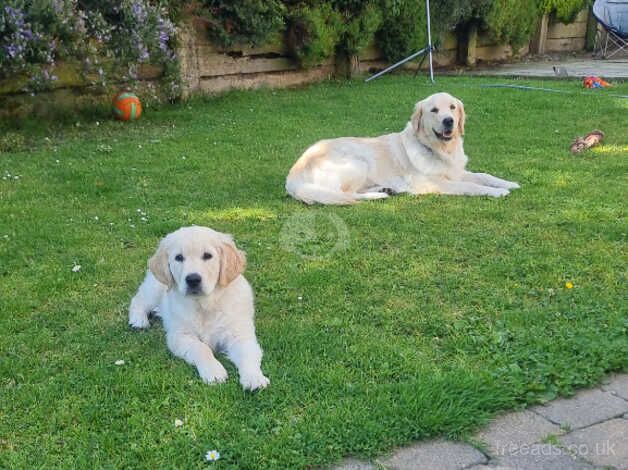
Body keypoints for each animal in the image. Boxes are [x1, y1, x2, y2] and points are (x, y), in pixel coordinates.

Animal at [130, 226, 270, 392]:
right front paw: (214, 371)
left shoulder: (240, 334)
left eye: (208, 256)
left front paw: (254, 378)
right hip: (155, 288)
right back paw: (138, 320)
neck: (204, 304)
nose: (193, 279)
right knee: (138, 300)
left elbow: (247, 355)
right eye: (179, 257)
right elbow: (201, 348)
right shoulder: (180, 336)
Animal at [286, 92, 520, 204]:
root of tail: (292, 178)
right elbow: (471, 186)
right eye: (434, 110)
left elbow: (483, 175)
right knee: (345, 194)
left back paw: (385, 189)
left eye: (453, 107)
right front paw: (497, 192)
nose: (449, 121)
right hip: (357, 162)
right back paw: (379, 196)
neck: (439, 149)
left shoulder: (456, 171)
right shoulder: (436, 183)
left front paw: (508, 183)